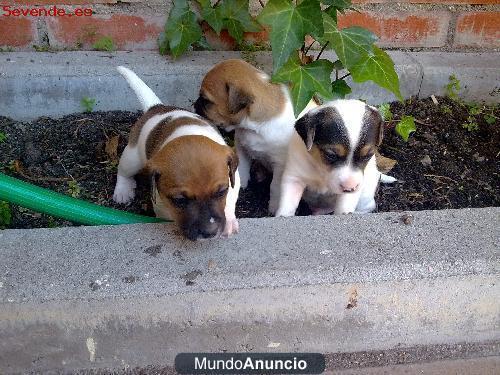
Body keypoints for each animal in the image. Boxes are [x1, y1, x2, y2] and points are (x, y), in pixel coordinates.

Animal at [113, 66, 240, 241]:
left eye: (221, 192)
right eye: (180, 200)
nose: (210, 232)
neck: (188, 133)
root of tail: (156, 107)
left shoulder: (234, 179)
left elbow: (231, 198)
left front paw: (229, 220)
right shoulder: (161, 203)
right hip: (132, 157)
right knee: (123, 171)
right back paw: (123, 191)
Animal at [193, 58, 314, 214]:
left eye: (206, 101)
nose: (195, 105)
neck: (252, 128)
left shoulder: (279, 165)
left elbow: (275, 187)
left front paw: (273, 207)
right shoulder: (241, 149)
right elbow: (242, 171)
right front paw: (242, 186)